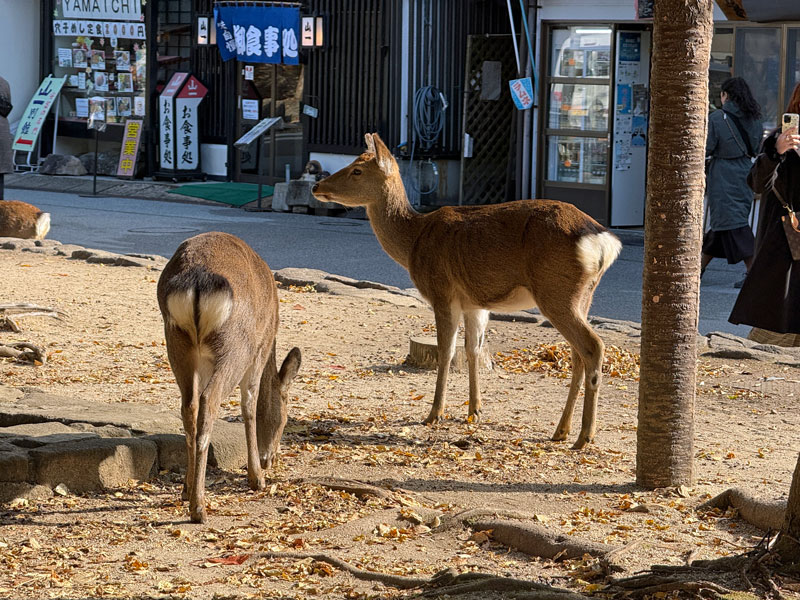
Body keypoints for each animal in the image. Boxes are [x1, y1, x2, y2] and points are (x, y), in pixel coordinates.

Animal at [157, 231, 301, 523]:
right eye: (285, 419)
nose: (271, 459)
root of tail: (197, 280)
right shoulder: (259, 351)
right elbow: (249, 406)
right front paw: (257, 478)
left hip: (176, 341)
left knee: (189, 406)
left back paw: (187, 491)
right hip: (236, 346)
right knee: (209, 402)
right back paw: (199, 508)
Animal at [312, 133, 622, 449]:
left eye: (357, 170)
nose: (316, 186)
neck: (413, 240)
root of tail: (605, 242)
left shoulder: (442, 291)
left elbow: (447, 351)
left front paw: (434, 414)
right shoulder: (475, 302)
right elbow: (473, 349)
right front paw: (474, 411)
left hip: (556, 290)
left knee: (593, 346)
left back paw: (584, 436)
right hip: (583, 295)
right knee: (577, 355)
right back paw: (561, 431)